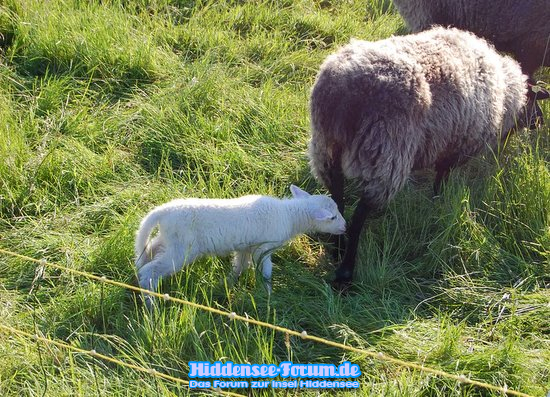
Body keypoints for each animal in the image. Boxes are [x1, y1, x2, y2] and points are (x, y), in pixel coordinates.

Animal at [135, 183, 344, 306]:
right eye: (332, 217)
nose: (345, 227)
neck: (289, 215)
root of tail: (162, 212)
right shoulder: (262, 248)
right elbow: (266, 271)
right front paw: (269, 294)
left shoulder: (246, 247)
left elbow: (240, 266)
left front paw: (227, 283)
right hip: (181, 249)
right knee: (150, 271)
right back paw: (150, 303)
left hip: (169, 239)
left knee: (149, 250)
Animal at [310, 26, 544, 284]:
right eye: (535, 100)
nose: (540, 122)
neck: (505, 95)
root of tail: (344, 90)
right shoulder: (456, 145)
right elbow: (442, 177)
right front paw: (438, 202)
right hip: (386, 154)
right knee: (359, 217)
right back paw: (345, 271)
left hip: (325, 149)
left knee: (338, 201)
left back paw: (337, 248)